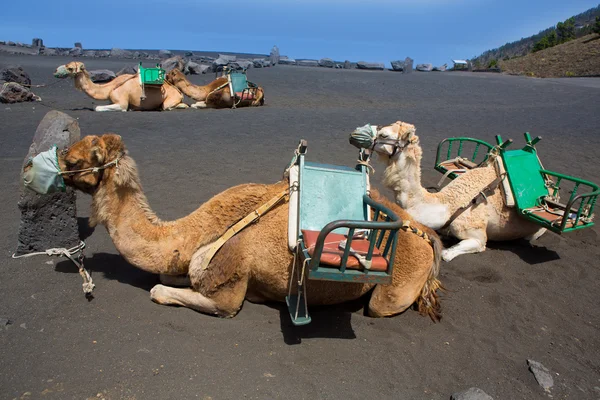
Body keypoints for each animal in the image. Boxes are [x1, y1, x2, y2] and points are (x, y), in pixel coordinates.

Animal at [32, 133, 442, 320]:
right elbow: (168, 278)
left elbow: (159, 291)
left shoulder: (228, 285)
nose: (34, 167)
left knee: (379, 306)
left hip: (393, 290)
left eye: (74, 160)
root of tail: (427, 236)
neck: (194, 233)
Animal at [55, 62, 190, 112]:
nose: (55, 71)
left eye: (70, 68)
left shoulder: (122, 102)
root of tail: (178, 92)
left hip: (170, 99)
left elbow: (97, 107)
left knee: (168, 106)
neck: (109, 88)